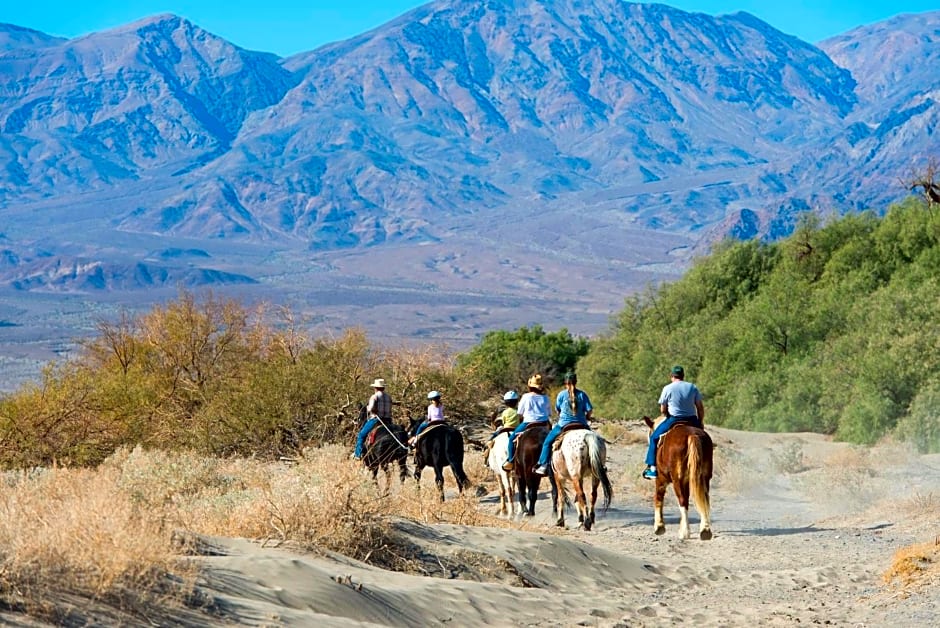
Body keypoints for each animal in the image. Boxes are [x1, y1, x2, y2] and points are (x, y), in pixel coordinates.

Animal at [644, 414, 716, 544]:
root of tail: (692, 435)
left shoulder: (661, 479)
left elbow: (658, 498)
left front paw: (659, 527)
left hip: (678, 480)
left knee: (683, 501)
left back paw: (685, 533)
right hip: (704, 478)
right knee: (704, 500)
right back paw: (705, 530)